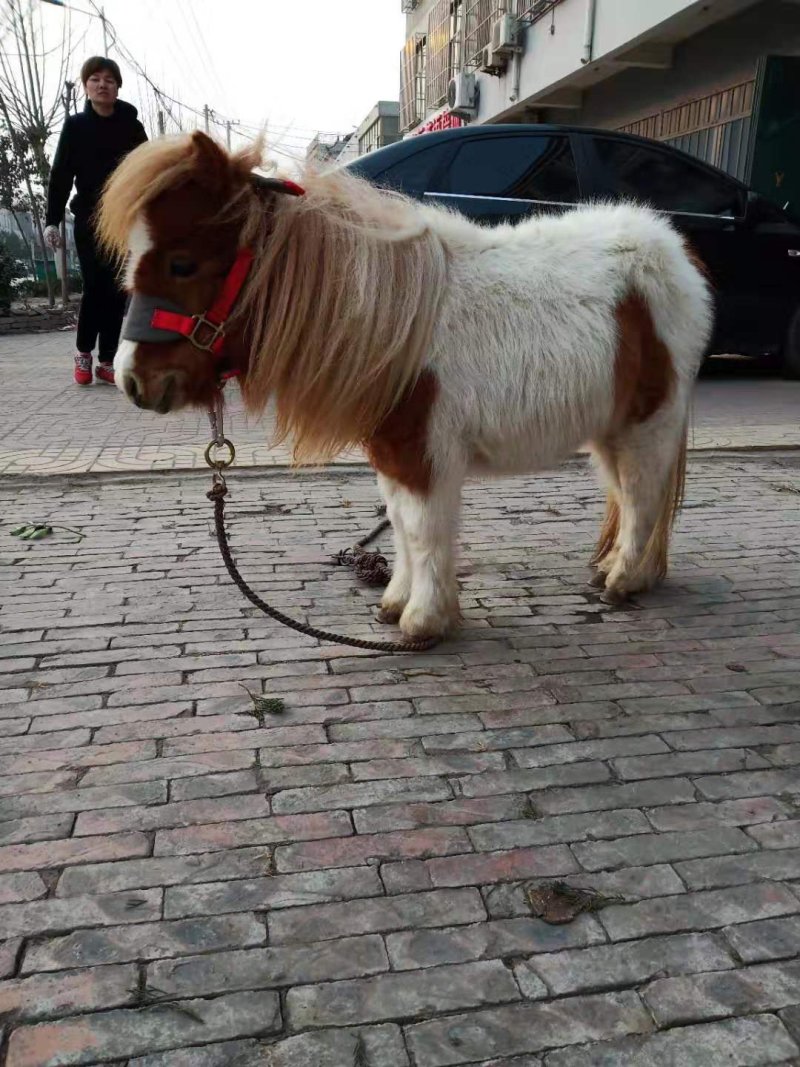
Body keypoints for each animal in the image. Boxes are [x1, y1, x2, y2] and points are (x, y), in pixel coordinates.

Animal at [98, 130, 713, 642]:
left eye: (181, 264)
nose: (133, 381)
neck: (396, 321)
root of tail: (672, 252)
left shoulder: (423, 454)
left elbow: (421, 530)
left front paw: (425, 621)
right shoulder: (392, 453)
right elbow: (398, 526)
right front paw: (396, 603)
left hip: (646, 425)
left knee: (641, 497)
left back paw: (624, 580)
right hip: (608, 431)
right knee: (627, 496)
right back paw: (619, 570)